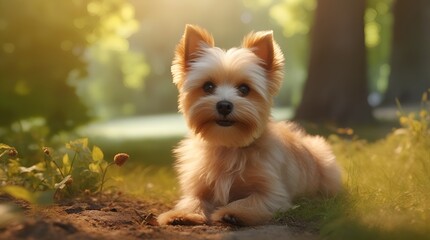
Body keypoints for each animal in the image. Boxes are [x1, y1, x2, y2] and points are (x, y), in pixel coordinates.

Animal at [156, 25, 340, 226]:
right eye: (208, 86)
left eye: (244, 89)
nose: (224, 105)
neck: (229, 145)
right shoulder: (199, 185)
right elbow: (193, 200)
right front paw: (182, 214)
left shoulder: (272, 193)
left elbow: (250, 200)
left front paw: (233, 212)